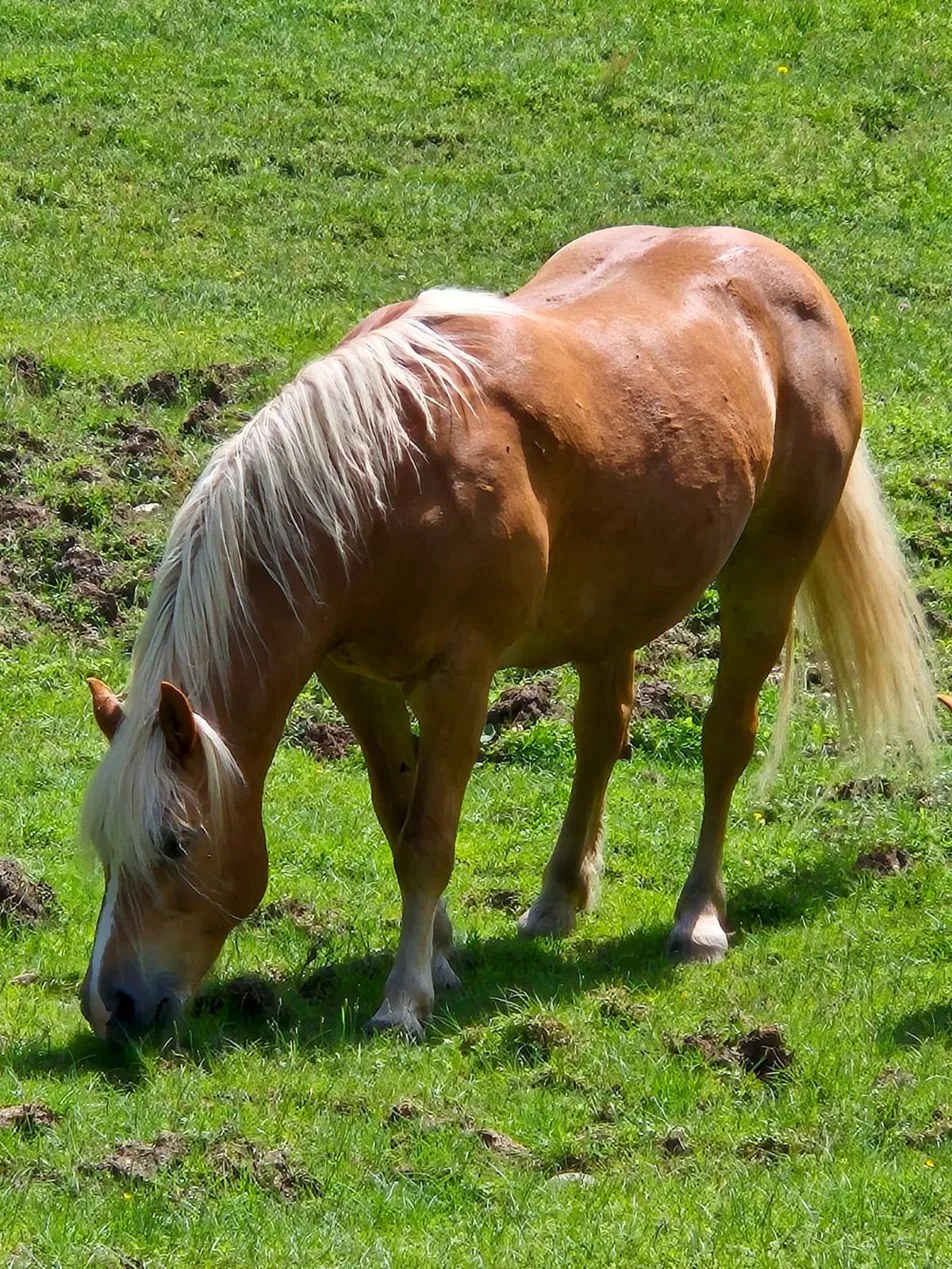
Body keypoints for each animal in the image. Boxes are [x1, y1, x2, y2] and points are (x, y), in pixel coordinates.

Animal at [80, 225, 936, 1041]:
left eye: (175, 841)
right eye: (104, 846)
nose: (110, 1005)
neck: (379, 479)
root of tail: (787, 275)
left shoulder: (461, 678)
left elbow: (429, 834)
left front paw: (405, 997)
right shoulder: (352, 676)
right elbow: (396, 811)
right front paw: (442, 954)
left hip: (765, 577)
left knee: (725, 741)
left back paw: (698, 918)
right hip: (613, 607)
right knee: (600, 735)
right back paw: (558, 897)